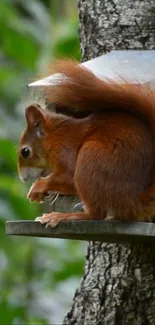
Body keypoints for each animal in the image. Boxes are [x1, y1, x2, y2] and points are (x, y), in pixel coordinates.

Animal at [17, 59, 155, 227]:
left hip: (90, 160)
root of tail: (135, 202)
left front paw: (38, 186)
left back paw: (62, 216)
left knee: (96, 215)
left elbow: (68, 178)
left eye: (25, 151)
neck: (55, 138)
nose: (22, 178)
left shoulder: (65, 150)